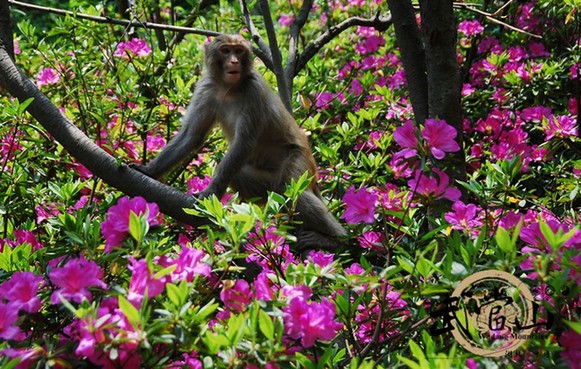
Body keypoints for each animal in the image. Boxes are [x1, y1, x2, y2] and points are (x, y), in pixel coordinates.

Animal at [131, 34, 346, 249]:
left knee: (292, 191)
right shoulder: (206, 90)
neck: (228, 87)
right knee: (248, 179)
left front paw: (210, 194)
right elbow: (191, 135)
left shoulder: (253, 92)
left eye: (239, 51)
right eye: (226, 50)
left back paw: (336, 239)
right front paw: (149, 170)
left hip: (300, 159)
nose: (234, 61)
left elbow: (244, 143)